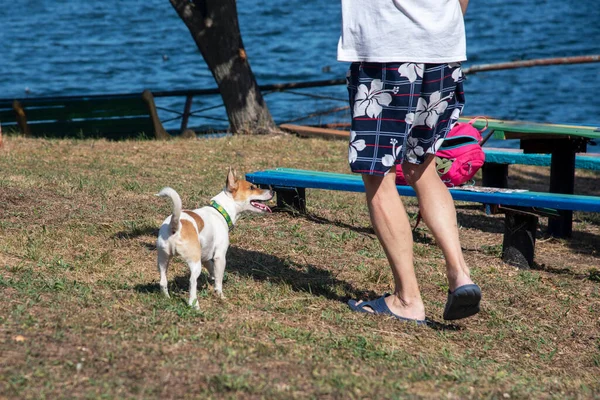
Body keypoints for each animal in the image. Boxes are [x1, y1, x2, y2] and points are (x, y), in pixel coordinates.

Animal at [157, 167, 274, 308]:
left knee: (163, 281)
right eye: (251, 187)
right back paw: (194, 305)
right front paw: (220, 295)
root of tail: (176, 225)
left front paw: (212, 278)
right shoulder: (220, 256)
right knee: (192, 281)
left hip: (163, 259)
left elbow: (212, 269)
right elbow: (219, 280)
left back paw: (166, 298)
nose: (272, 191)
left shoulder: (206, 256)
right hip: (194, 263)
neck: (220, 211)